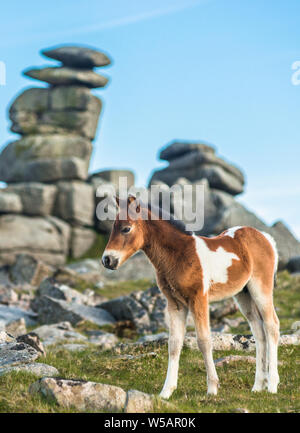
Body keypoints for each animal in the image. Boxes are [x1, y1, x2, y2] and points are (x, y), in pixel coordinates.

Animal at [102, 197, 280, 396]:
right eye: (113, 226)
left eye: (126, 228)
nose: (107, 260)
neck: (180, 254)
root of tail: (265, 238)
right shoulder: (175, 304)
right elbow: (174, 344)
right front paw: (166, 392)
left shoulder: (198, 299)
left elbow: (203, 341)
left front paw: (212, 388)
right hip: (244, 294)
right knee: (258, 331)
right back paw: (257, 386)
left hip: (261, 289)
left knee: (271, 326)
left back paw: (272, 386)